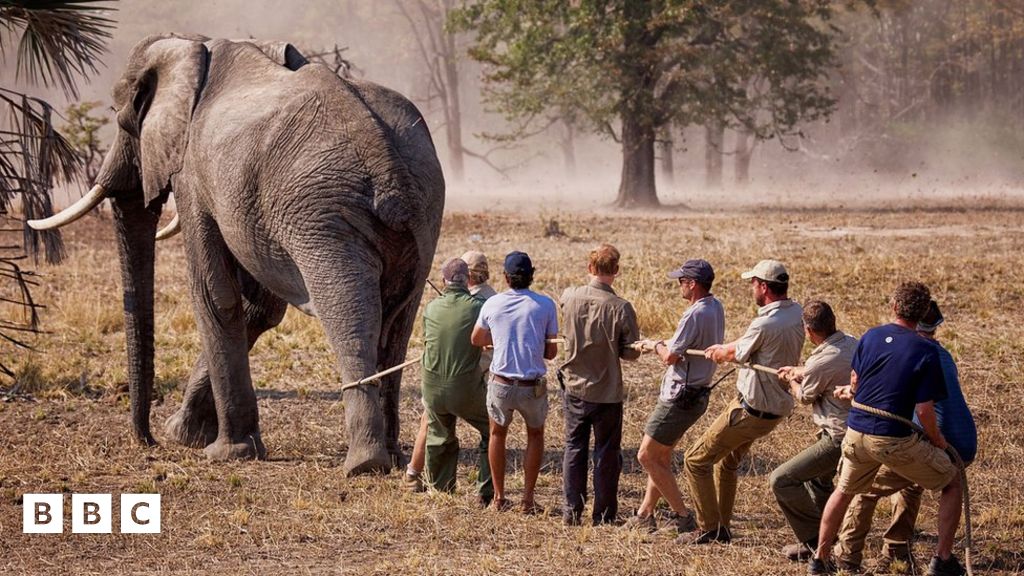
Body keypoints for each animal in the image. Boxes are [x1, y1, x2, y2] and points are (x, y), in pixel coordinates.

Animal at [29, 34, 445, 475]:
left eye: (124, 119)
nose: (147, 440)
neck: (195, 48)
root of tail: (386, 160)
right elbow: (258, 307)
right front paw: (184, 434)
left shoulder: (193, 173)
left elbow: (215, 295)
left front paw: (224, 452)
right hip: (422, 212)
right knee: (398, 320)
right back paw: (394, 455)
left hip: (324, 217)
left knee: (350, 313)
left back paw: (364, 464)